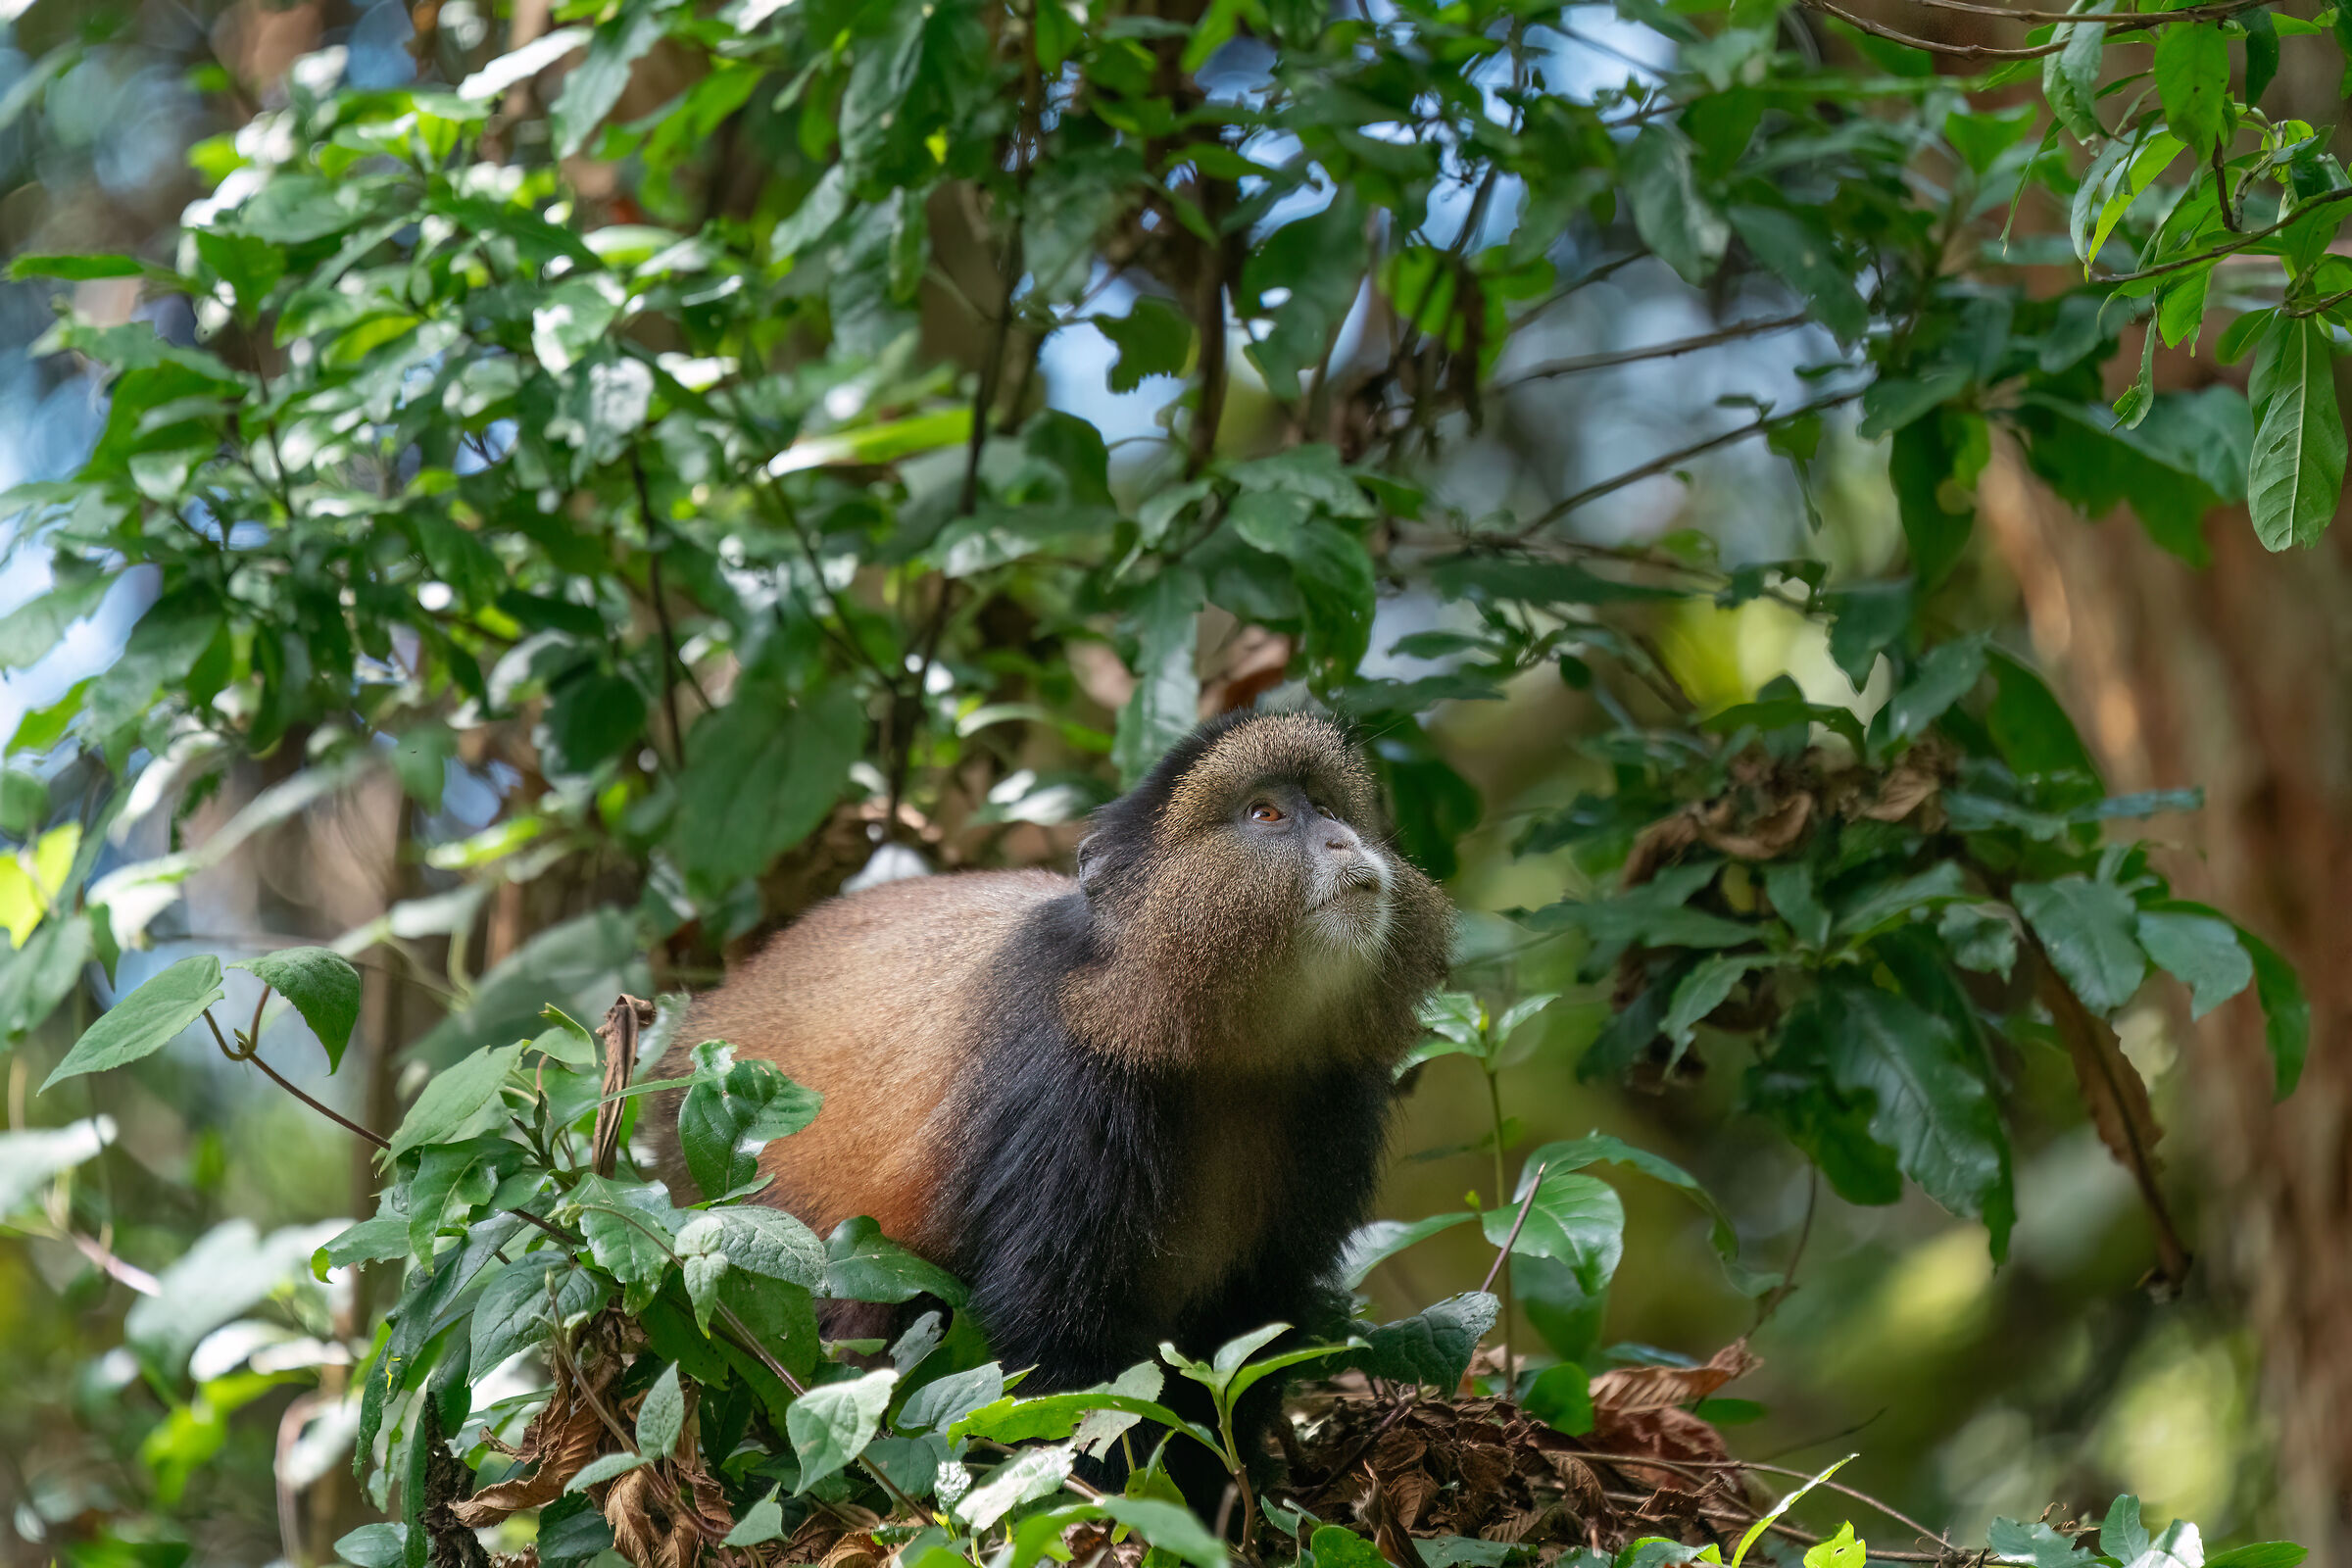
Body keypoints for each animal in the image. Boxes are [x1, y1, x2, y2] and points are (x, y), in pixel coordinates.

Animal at [648, 710, 1452, 1475]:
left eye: (1327, 806)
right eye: (1267, 815)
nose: (1345, 840)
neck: (1220, 1050)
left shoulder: (1335, 1099)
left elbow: (1256, 1320)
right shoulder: (1070, 1086)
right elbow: (1059, 1337)